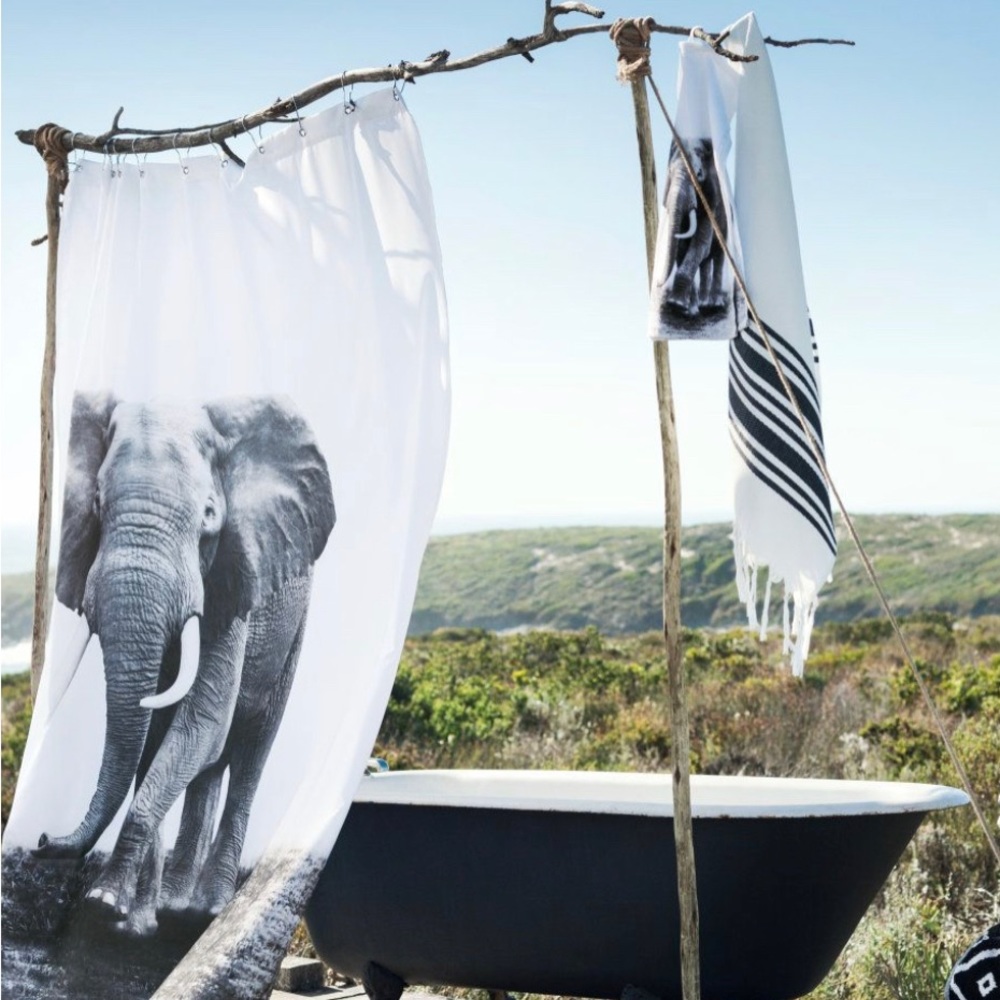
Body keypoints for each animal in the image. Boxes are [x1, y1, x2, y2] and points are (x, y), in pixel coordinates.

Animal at [32, 392, 335, 938]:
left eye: (210, 516)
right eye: (97, 507)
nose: (44, 839)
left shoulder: (234, 582)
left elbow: (203, 723)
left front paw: (104, 903)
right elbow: (159, 737)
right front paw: (125, 916)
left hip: (295, 627)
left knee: (250, 749)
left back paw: (208, 911)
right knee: (208, 767)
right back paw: (174, 905)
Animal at [658, 137, 729, 321]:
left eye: (698, 175)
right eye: (669, 172)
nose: (658, 284)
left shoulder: (712, 202)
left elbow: (700, 245)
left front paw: (677, 304)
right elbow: (682, 249)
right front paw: (685, 309)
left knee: (718, 258)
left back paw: (715, 306)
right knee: (704, 263)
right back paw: (703, 305)